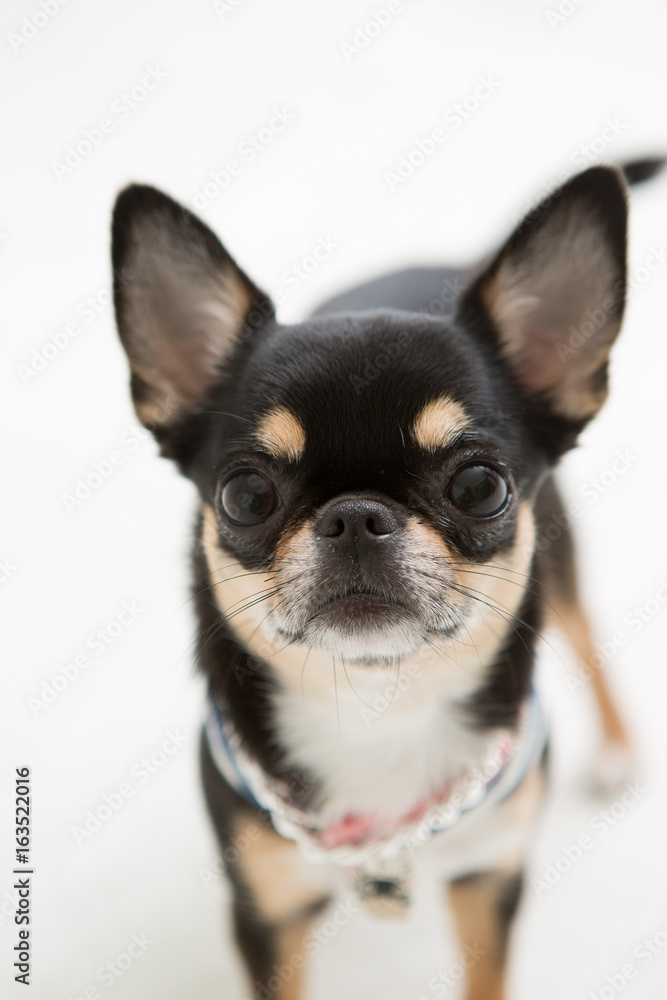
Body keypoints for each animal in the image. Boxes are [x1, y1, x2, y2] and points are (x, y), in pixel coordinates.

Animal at [111, 158, 664, 1000]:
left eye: (479, 486)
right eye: (244, 496)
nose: (355, 516)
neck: (381, 708)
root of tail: (456, 263)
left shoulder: (488, 881)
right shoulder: (266, 912)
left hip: (562, 555)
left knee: (584, 627)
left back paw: (616, 746)